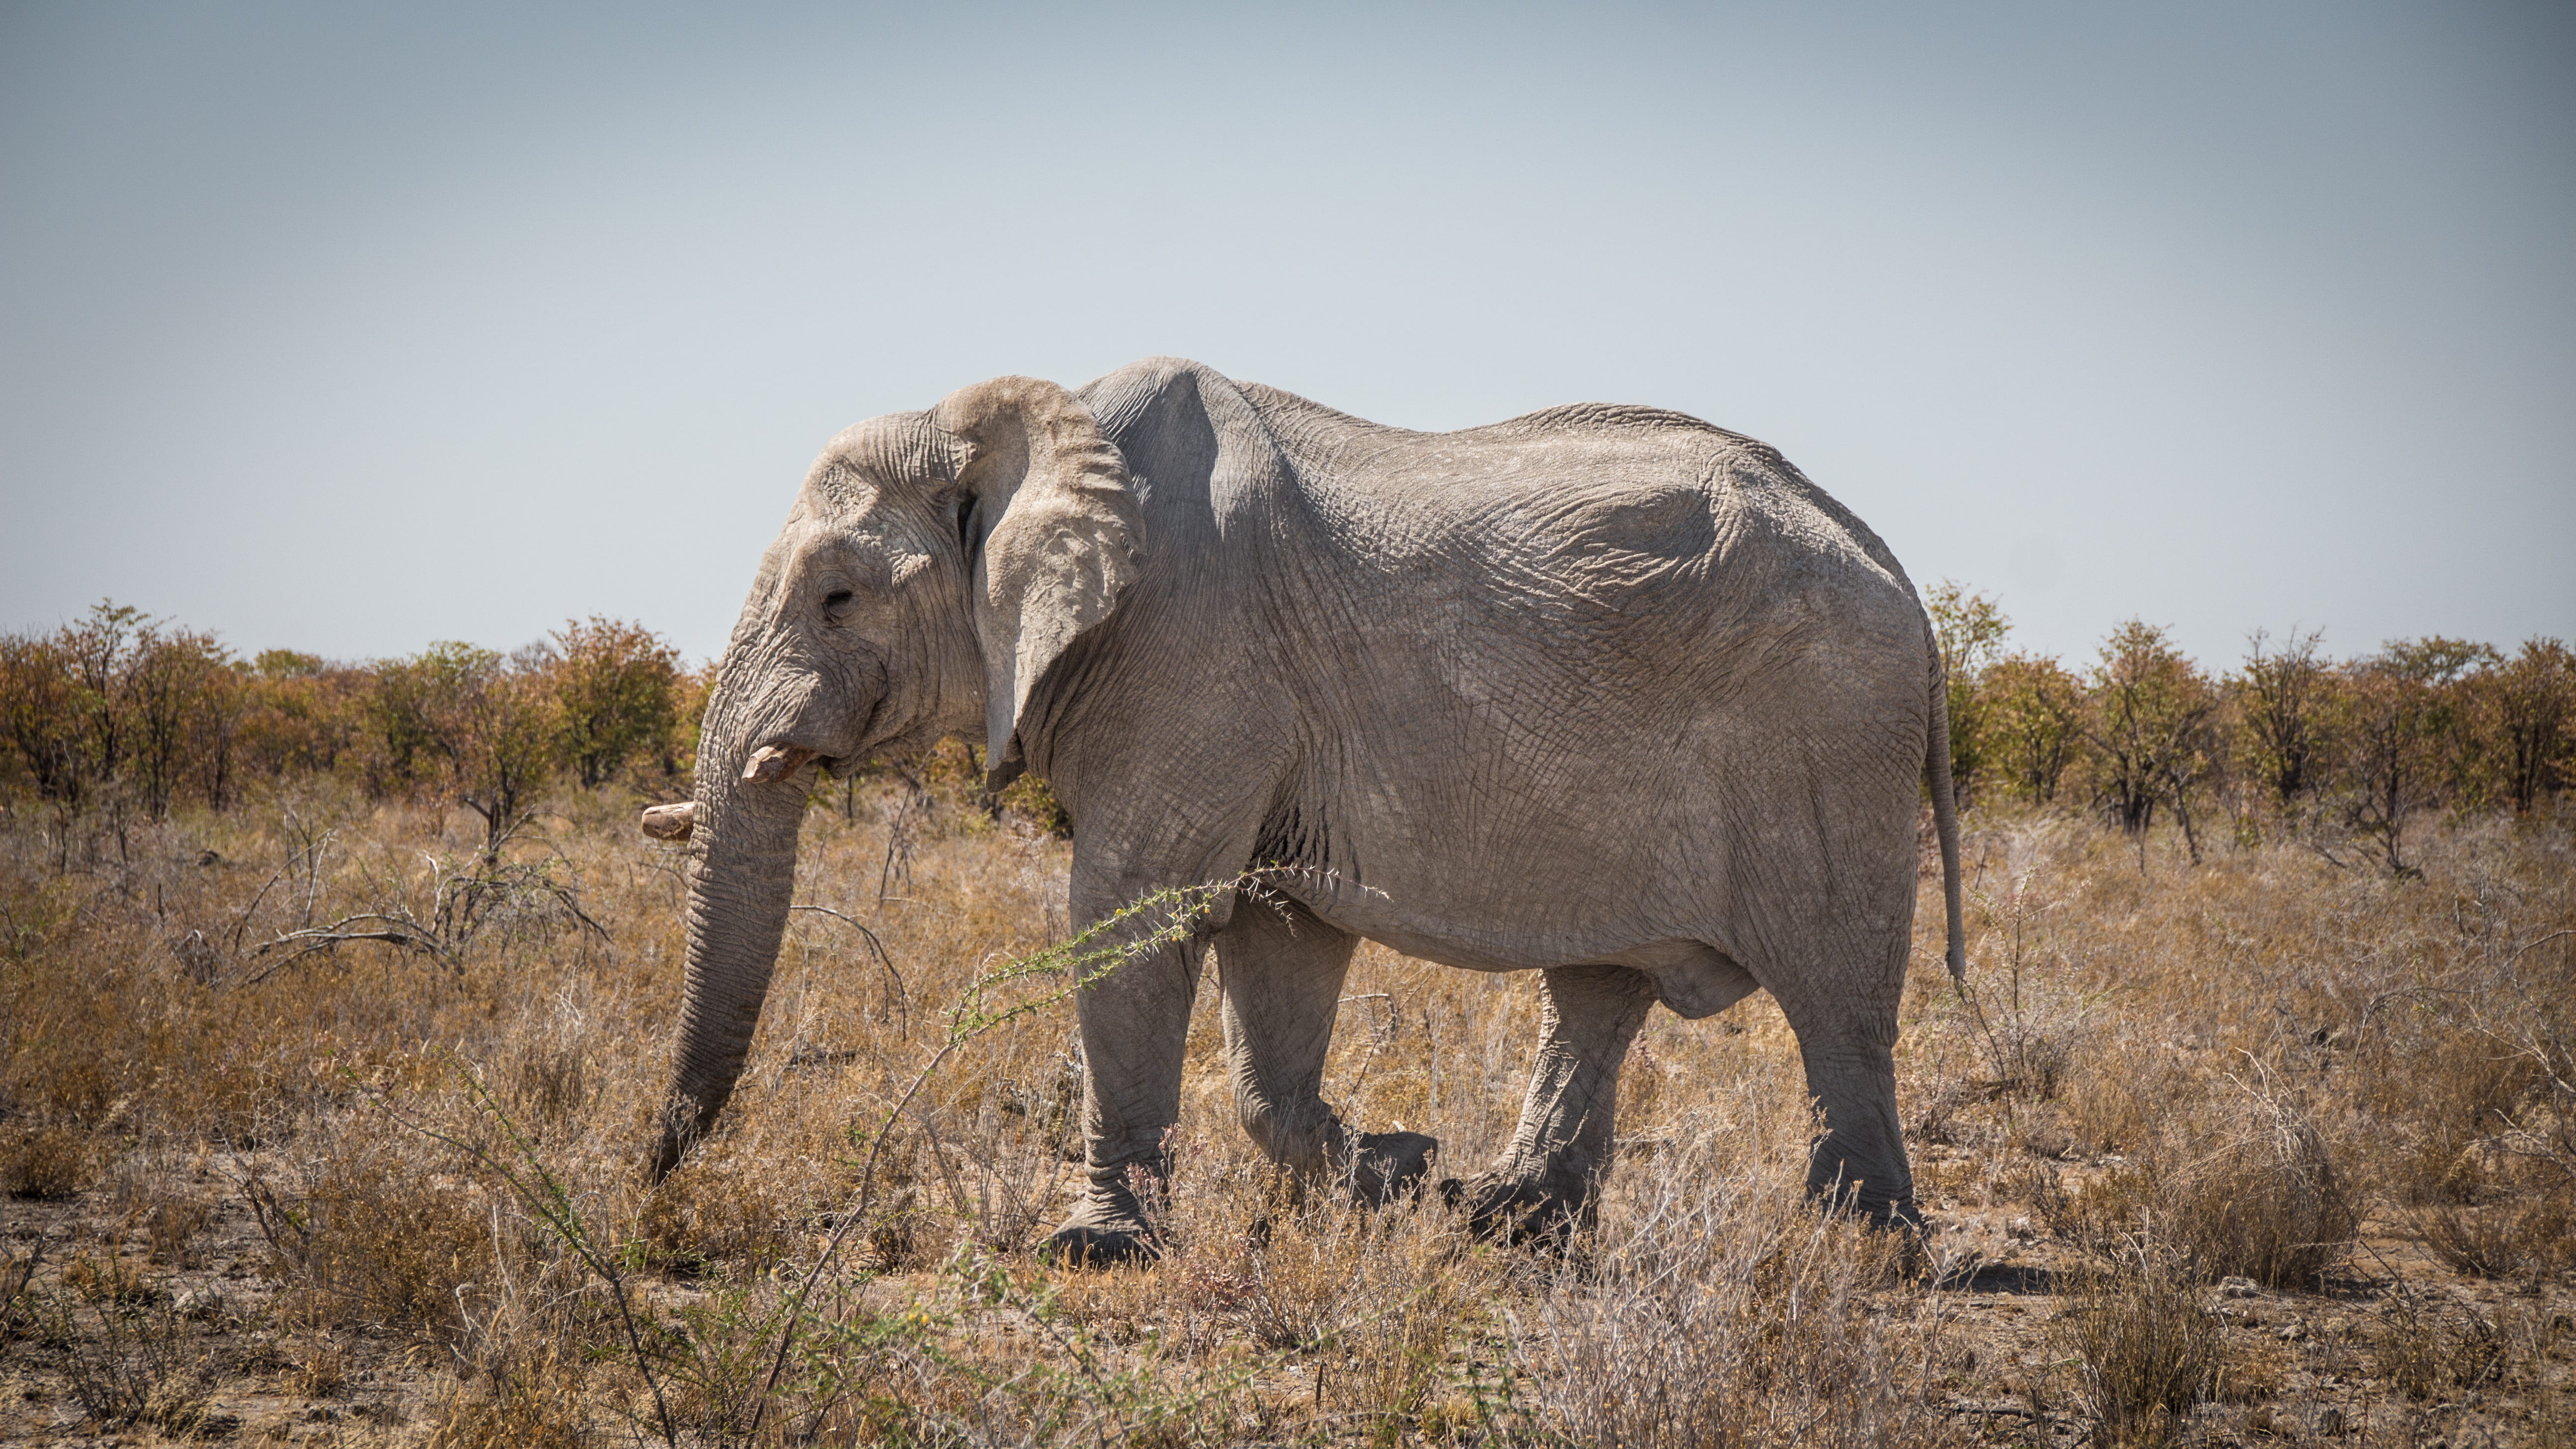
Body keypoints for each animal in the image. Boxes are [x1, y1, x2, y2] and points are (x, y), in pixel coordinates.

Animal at [641, 356, 1966, 1263]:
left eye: (837, 596)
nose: (650, 1176)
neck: (1043, 424)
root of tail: (1895, 564)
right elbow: (1277, 939)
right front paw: (1391, 1172)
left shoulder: (1194, 651)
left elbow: (1134, 909)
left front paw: (1096, 1251)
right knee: (1599, 988)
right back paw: (1505, 1216)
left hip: (1826, 738)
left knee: (1836, 996)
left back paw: (1859, 1251)